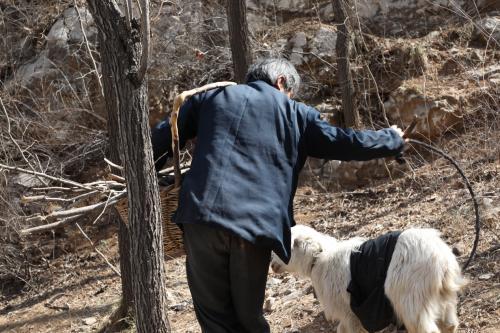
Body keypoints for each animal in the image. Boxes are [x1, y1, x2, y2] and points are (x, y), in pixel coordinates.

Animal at [272, 224, 466, 332]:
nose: (272, 266)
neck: (318, 258)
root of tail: (441, 260)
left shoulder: (349, 311)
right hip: (442, 298)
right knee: (449, 325)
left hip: (411, 296)